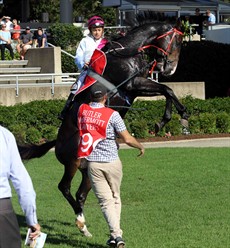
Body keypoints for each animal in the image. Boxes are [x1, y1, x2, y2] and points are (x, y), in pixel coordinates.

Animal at [19, 12, 189, 237]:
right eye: (177, 41)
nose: (170, 68)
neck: (125, 54)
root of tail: (57, 141)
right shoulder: (132, 85)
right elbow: (167, 89)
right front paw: (173, 118)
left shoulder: (136, 88)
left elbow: (167, 90)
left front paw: (172, 118)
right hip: (73, 161)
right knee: (64, 187)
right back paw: (80, 221)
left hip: (89, 171)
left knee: (80, 194)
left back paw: (84, 226)